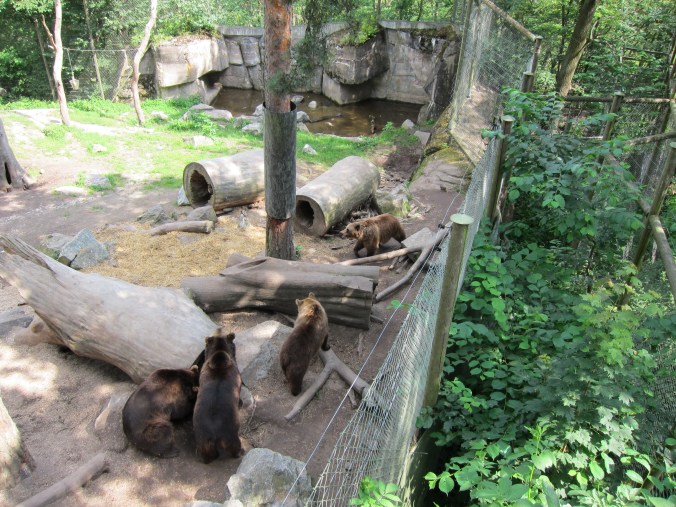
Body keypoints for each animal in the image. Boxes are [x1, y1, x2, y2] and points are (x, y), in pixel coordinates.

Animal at [192, 331, 244, 464]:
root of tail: (214, 435)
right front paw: (241, 402)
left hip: (203, 440)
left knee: (206, 454)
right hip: (230, 435)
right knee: (235, 446)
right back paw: (240, 452)